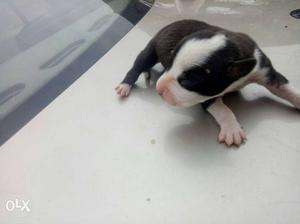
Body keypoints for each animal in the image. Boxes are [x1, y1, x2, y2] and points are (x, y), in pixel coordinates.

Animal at [115, 20, 300, 147]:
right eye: (169, 64)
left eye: (187, 81)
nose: (159, 89)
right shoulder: (205, 96)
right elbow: (222, 109)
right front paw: (231, 128)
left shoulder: (266, 72)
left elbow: (288, 89)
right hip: (150, 51)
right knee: (137, 66)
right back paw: (125, 85)